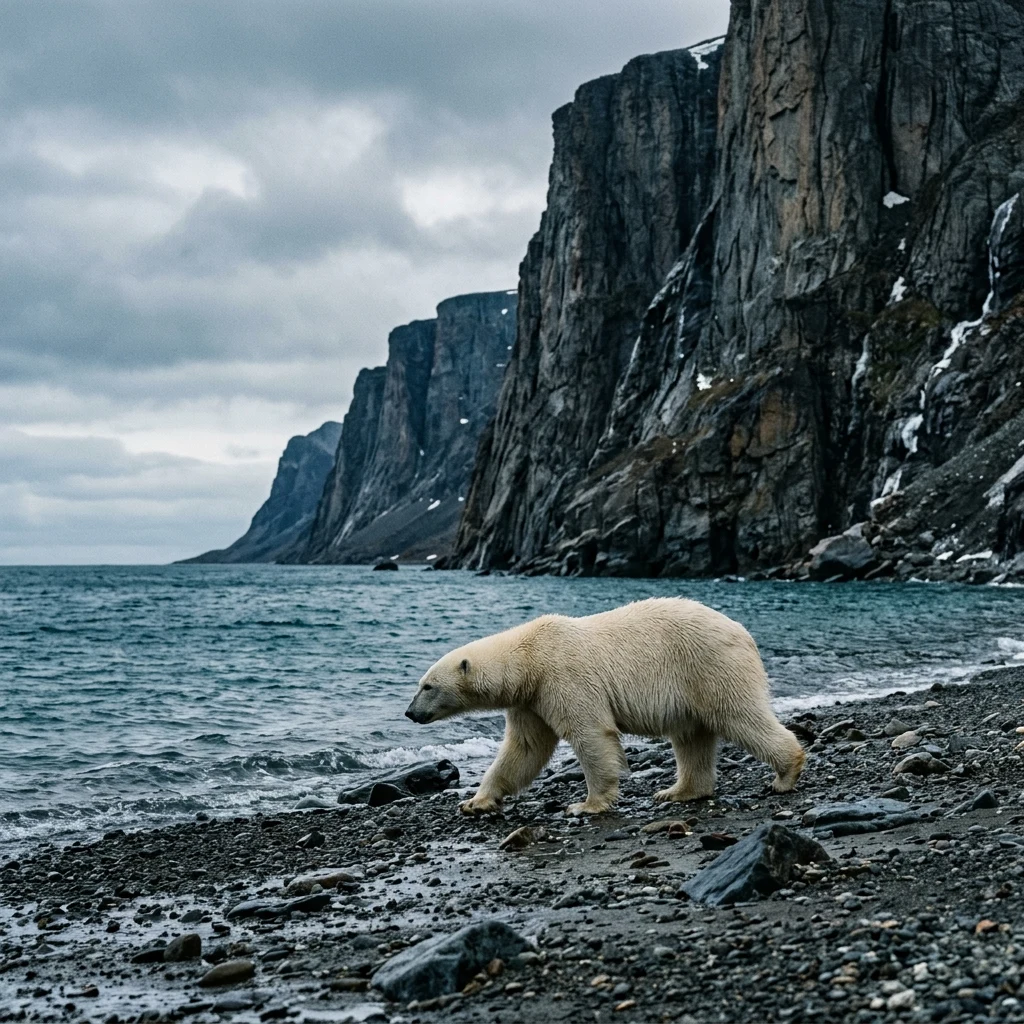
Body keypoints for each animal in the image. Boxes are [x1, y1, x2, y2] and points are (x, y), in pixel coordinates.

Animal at [404, 596, 805, 816]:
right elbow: (525, 749)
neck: (529, 658)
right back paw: (678, 791)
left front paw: (587, 803)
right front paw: (476, 801)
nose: (409, 712)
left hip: (708, 664)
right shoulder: (531, 699)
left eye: (427, 686)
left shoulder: (563, 677)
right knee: (691, 737)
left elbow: (591, 733)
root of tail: (743, 632)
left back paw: (785, 774)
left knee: (739, 715)